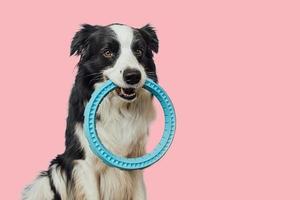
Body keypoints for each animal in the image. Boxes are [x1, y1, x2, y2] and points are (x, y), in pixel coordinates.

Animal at [22, 23, 159, 200]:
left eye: (139, 51)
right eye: (107, 52)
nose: (133, 76)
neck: (118, 108)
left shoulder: (135, 160)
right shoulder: (85, 162)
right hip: (55, 169)